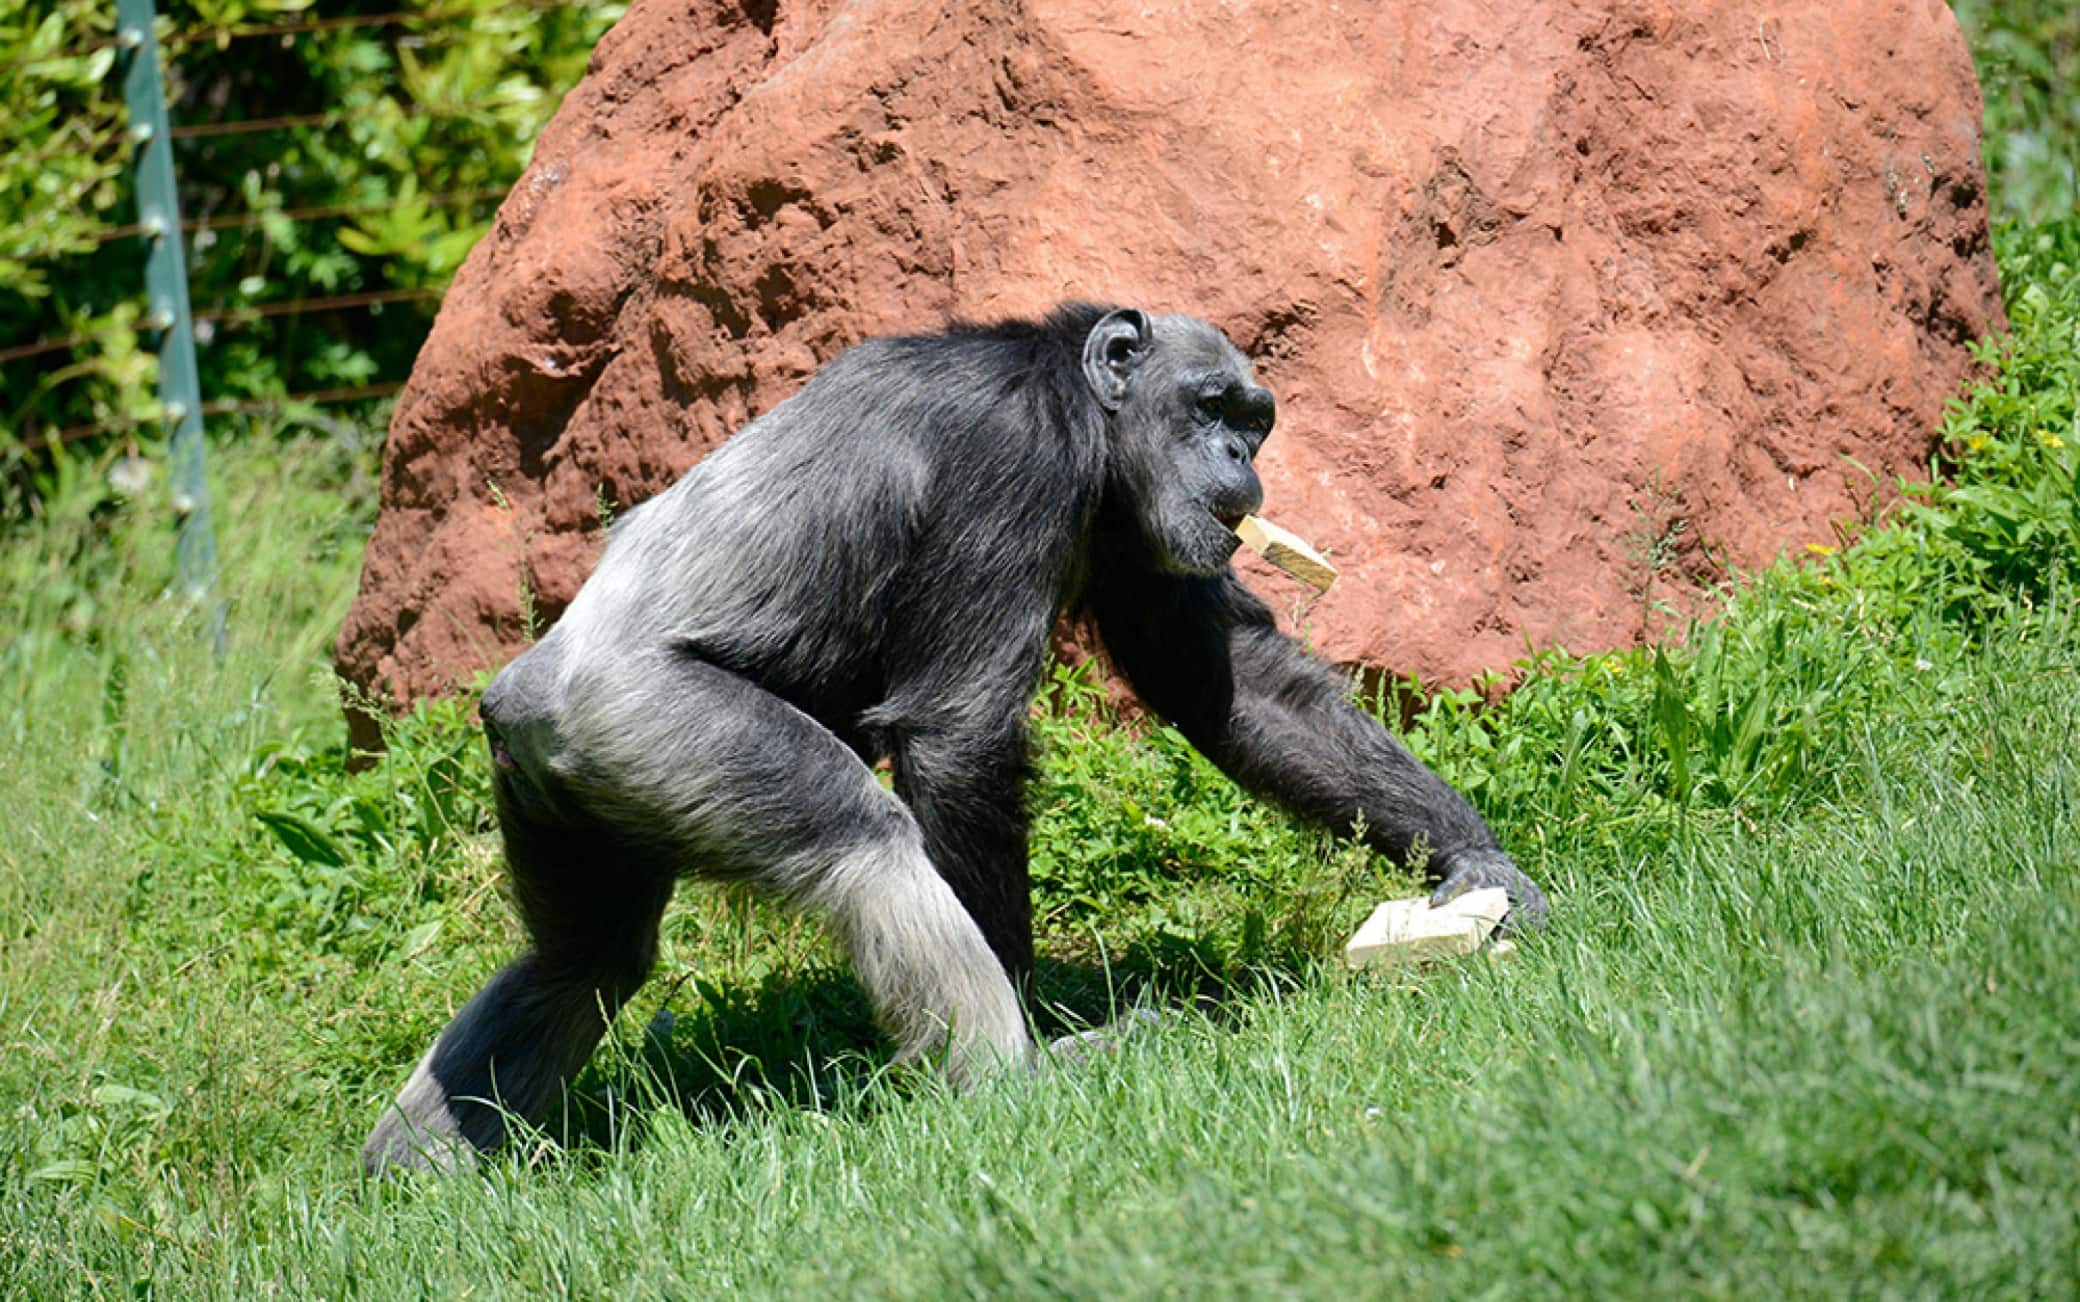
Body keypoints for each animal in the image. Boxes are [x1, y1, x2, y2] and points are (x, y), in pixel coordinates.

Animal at [366, 301, 1547, 1164]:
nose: (1241, 458)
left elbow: (1230, 682)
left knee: (583, 960)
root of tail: (530, 699)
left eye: (1254, 421)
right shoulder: (1010, 459)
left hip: (561, 790)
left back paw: (414, 1166)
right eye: (1214, 404)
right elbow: (961, 727)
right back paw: (1014, 1078)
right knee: (866, 848)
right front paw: (1032, 1008)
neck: (1085, 410)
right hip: (650, 725)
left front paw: (1474, 863)